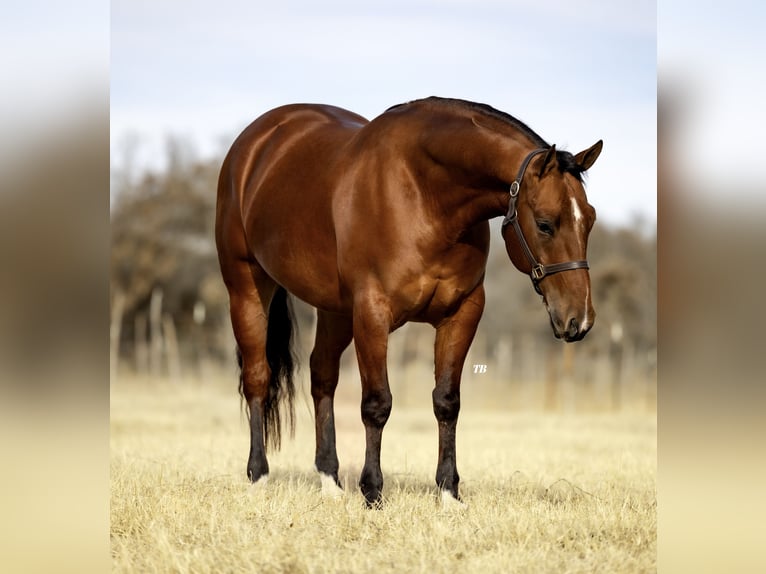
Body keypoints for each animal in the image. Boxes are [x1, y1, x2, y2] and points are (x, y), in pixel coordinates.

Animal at [216, 97, 608, 506]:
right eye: (546, 224)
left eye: (589, 220)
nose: (579, 320)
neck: (425, 195)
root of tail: (257, 140)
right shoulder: (372, 313)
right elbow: (377, 404)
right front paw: (373, 492)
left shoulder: (462, 313)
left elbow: (447, 401)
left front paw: (449, 493)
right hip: (246, 286)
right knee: (257, 377)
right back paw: (259, 476)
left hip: (334, 310)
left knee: (322, 375)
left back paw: (329, 480)